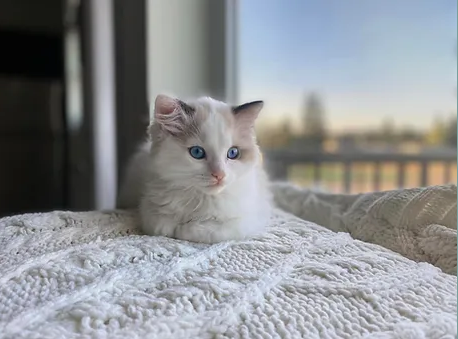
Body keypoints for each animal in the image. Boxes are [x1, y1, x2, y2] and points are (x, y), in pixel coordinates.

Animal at [118, 93, 272, 244]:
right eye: (197, 152)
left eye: (233, 153)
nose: (219, 175)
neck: (199, 198)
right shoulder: (148, 206)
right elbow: (159, 224)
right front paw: (174, 226)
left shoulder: (247, 220)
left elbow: (210, 231)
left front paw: (185, 228)